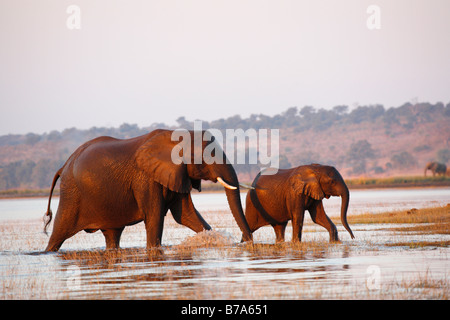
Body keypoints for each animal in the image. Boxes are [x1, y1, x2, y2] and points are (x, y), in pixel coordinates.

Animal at [43, 129, 253, 251]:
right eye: (206, 156)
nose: (245, 241)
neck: (174, 137)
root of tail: (64, 165)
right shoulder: (145, 179)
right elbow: (155, 216)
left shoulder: (176, 173)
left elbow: (185, 214)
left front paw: (212, 238)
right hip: (71, 193)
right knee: (58, 234)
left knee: (112, 235)